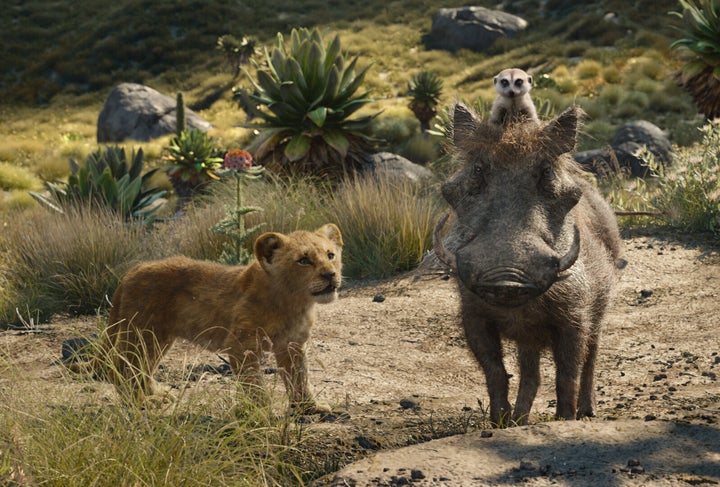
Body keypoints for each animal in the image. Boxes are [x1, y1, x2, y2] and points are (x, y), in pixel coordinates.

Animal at [86, 223, 343, 412]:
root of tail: (131, 272)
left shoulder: (292, 345)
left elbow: (299, 377)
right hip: (142, 333)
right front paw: (261, 412)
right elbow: (253, 383)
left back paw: (157, 393)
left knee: (142, 367)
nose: (330, 274)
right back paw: (143, 402)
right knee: (122, 367)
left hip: (158, 337)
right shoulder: (241, 345)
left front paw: (308, 407)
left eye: (330, 255)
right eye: (304, 260)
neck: (294, 303)